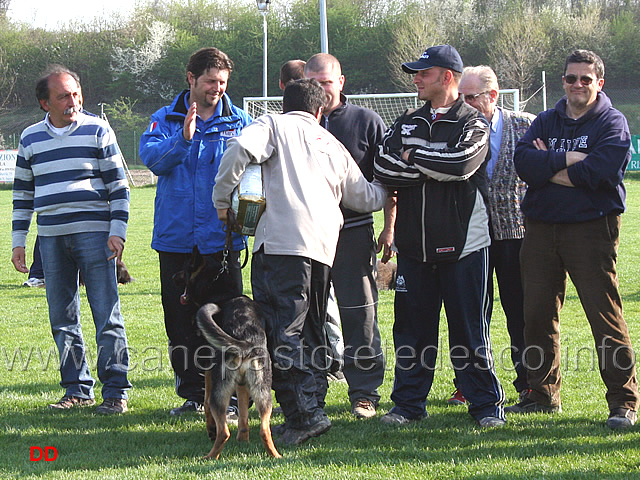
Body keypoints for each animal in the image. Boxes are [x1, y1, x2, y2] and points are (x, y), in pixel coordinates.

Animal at [174, 249, 282, 460]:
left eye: (184, 268)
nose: (172, 276)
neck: (221, 292)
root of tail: (246, 341)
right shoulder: (242, 386)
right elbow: (244, 417)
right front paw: (243, 441)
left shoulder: (208, 371)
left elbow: (205, 402)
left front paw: (210, 430)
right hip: (263, 393)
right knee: (265, 430)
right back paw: (276, 456)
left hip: (220, 391)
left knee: (223, 430)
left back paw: (209, 457)